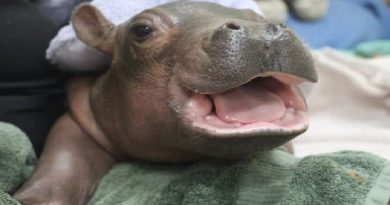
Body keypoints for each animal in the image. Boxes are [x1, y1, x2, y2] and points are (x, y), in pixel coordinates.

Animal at [14, 1, 316, 205]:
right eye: (142, 30)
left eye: (259, 16)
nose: (261, 32)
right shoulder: (78, 121)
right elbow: (61, 167)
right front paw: (28, 199)